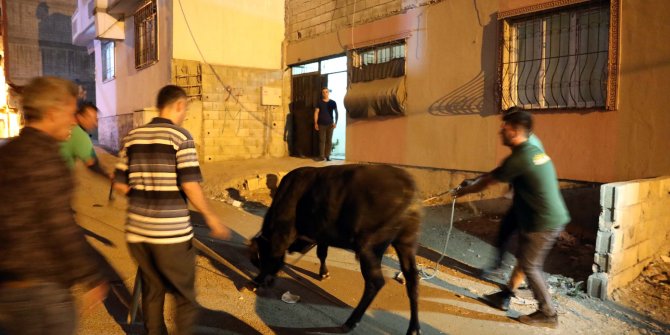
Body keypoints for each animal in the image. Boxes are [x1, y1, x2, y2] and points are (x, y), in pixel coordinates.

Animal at [249, 165, 422, 335]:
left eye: (261, 256)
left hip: (370, 246)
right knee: (412, 278)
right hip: (406, 242)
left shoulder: (283, 234)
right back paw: (413, 328)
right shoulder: (322, 235)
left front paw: (259, 280)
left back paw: (350, 322)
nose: (257, 280)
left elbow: (277, 255)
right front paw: (323, 273)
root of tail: (407, 183)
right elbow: (322, 253)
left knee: (375, 282)